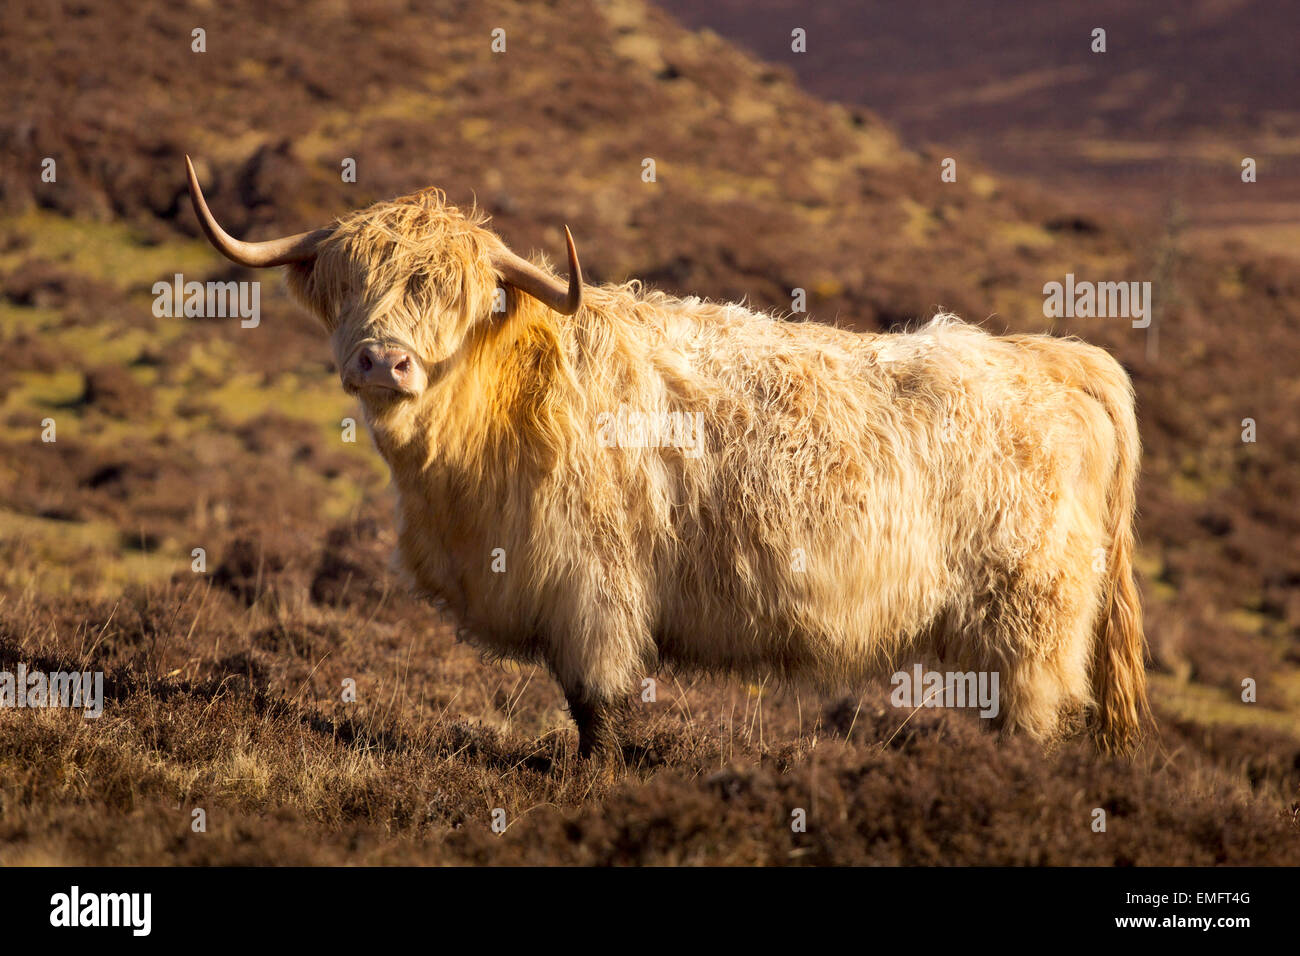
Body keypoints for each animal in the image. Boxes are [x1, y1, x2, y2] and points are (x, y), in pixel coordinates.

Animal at [185, 156, 1148, 760]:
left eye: (453, 294)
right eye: (350, 281)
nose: (383, 361)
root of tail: (1058, 358)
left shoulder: (594, 586)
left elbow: (598, 704)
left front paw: (594, 782)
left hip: (1034, 620)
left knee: (1036, 722)